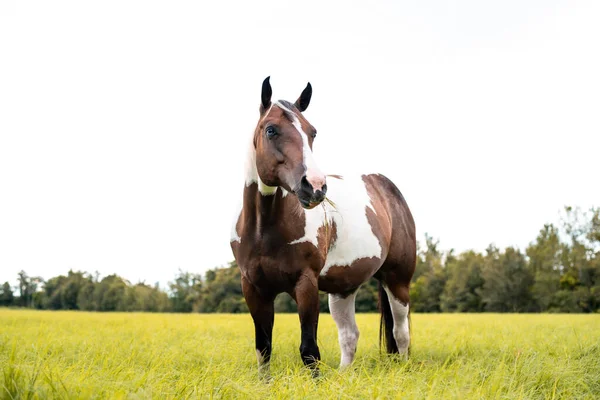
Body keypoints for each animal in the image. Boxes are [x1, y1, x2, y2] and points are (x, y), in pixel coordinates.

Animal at [227, 76, 414, 374]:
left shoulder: (306, 284)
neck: (263, 230)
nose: (315, 186)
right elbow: (263, 350)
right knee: (350, 336)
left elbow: (309, 351)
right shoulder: (254, 288)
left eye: (312, 132)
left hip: (397, 280)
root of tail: (386, 187)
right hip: (343, 289)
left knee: (400, 333)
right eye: (271, 130)